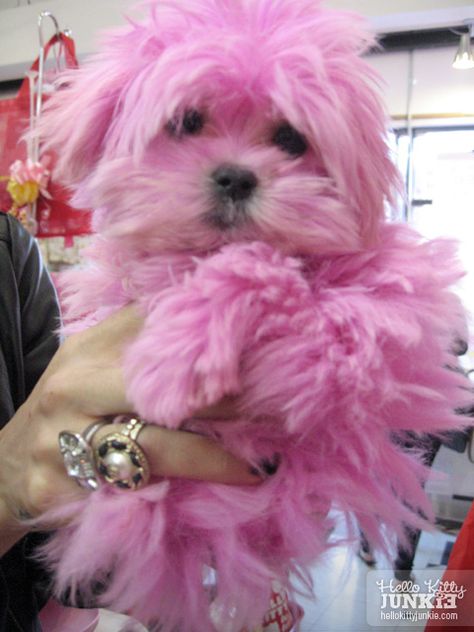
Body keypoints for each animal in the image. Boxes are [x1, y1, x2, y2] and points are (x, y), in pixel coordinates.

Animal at [38, 2, 470, 628]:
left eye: (291, 139)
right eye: (187, 121)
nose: (237, 175)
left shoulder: (362, 340)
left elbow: (259, 265)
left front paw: (178, 356)